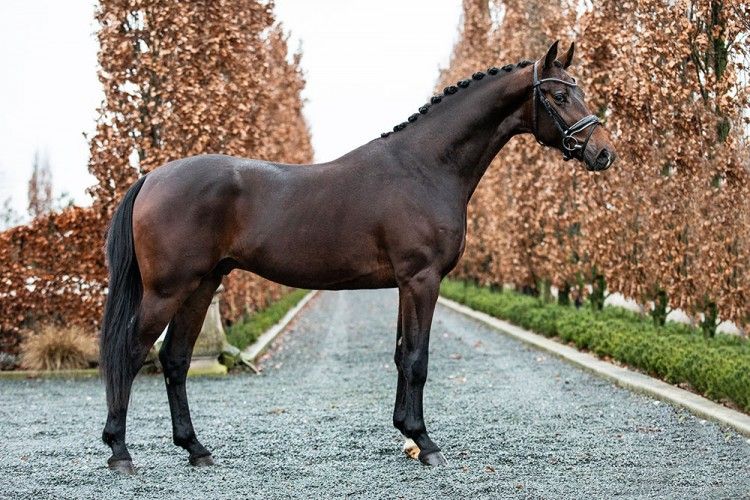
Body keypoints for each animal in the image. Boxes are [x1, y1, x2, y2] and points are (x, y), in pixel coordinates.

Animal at [100, 41, 616, 473]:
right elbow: (418, 359)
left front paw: (406, 434)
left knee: (175, 360)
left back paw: (196, 449)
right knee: (130, 352)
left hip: (202, 285)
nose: (603, 153)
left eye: (581, 90)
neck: (425, 167)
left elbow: (401, 355)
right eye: (559, 95)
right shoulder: (422, 279)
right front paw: (426, 443)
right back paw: (120, 453)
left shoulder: (405, 284)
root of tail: (152, 177)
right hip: (168, 289)